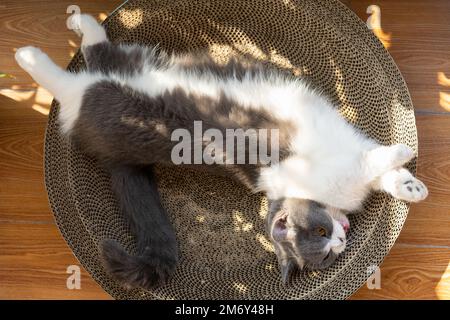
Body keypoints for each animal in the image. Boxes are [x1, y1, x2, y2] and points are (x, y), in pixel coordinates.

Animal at [14, 15, 428, 288]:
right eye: (323, 243)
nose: (341, 241)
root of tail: (112, 151)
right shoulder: (334, 153)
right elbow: (372, 161)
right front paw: (400, 154)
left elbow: (379, 173)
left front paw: (409, 186)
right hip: (98, 99)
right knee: (67, 84)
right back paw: (30, 57)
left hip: (133, 66)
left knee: (101, 53)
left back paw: (81, 22)